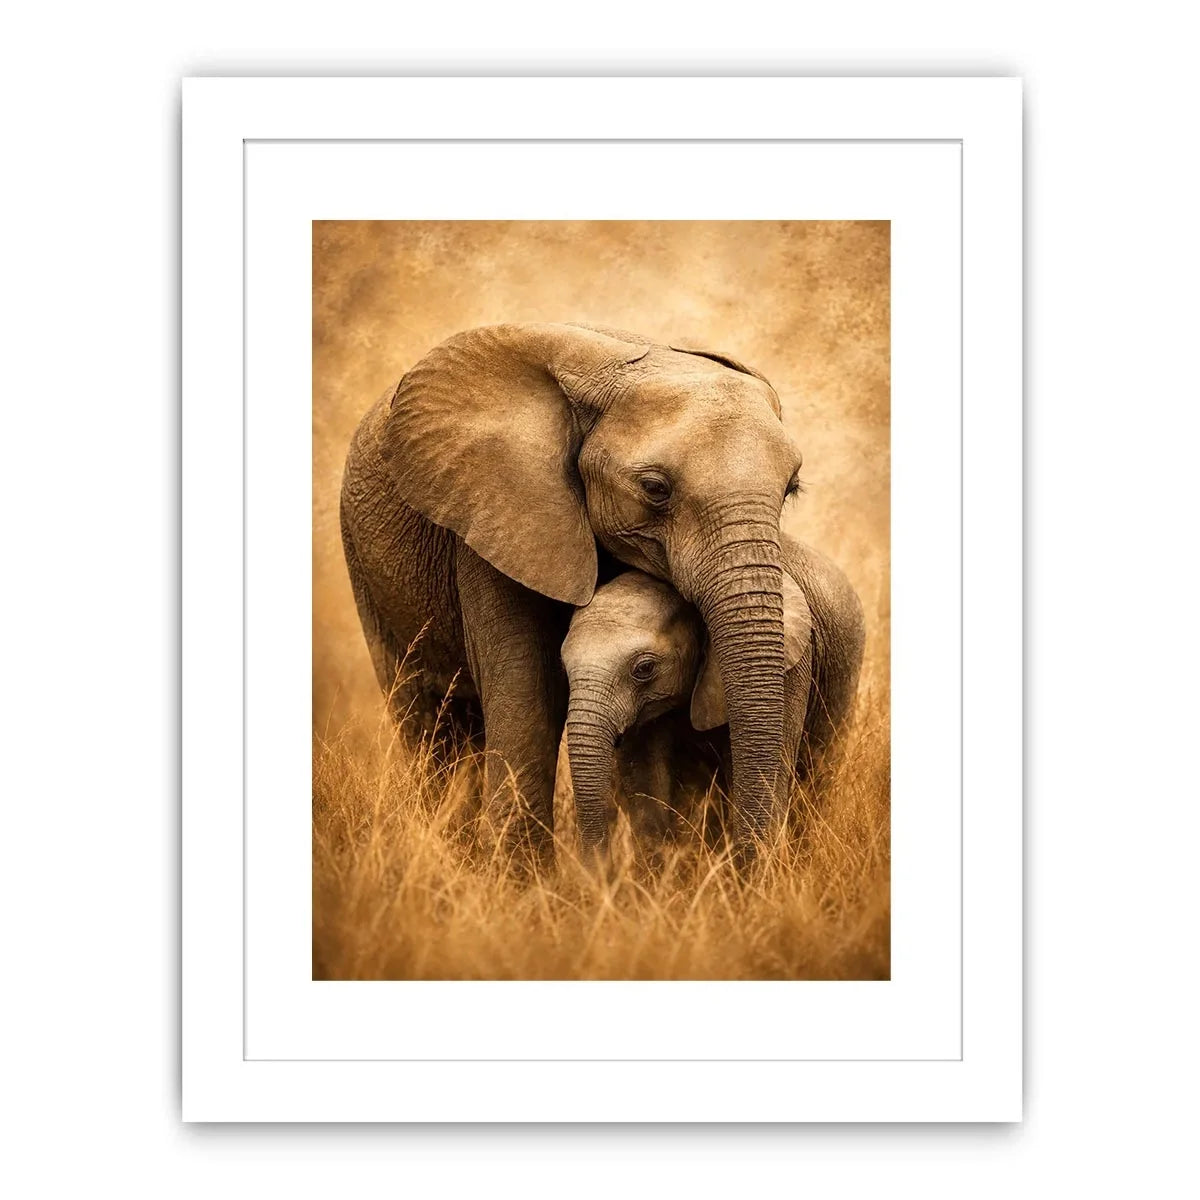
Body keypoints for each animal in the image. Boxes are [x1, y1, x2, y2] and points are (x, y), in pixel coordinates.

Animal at [339, 322, 804, 859]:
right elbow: (529, 691)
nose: (746, 863)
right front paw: (519, 879)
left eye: (791, 489)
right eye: (655, 489)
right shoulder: (497, 513)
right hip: (364, 565)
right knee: (425, 718)